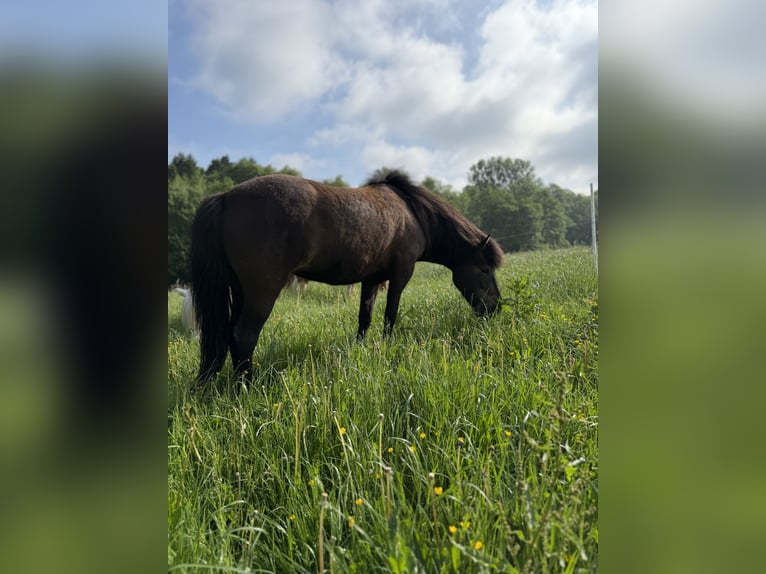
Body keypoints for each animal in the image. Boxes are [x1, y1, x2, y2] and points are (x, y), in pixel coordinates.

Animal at [191, 171, 504, 384]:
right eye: (485, 270)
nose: (495, 308)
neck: (413, 214)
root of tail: (225, 197)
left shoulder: (372, 280)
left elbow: (364, 319)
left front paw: (362, 351)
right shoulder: (400, 275)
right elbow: (390, 316)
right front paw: (386, 347)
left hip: (238, 290)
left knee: (229, 334)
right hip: (262, 291)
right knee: (244, 335)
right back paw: (246, 385)